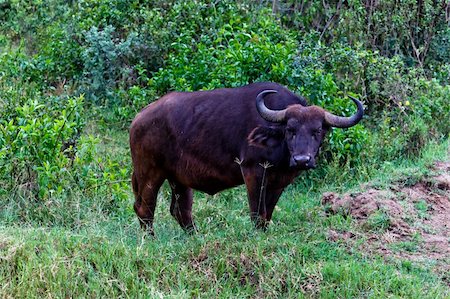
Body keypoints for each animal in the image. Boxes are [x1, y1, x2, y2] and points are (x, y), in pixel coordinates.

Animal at [129, 81, 362, 234]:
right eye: (290, 129)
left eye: (318, 131)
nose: (302, 160)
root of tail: (139, 119)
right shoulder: (253, 171)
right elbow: (257, 212)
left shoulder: (280, 182)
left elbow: (267, 214)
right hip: (149, 172)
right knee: (144, 208)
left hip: (178, 179)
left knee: (180, 210)